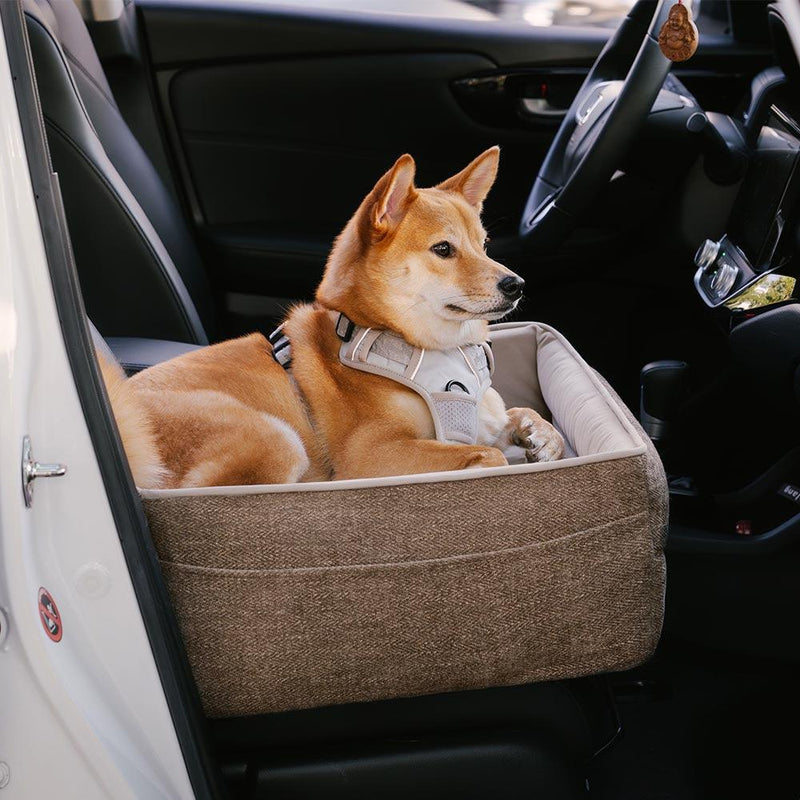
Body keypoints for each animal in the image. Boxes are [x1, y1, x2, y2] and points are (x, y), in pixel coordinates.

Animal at [101, 148, 564, 490]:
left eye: (484, 245)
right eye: (443, 249)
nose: (516, 284)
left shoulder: (487, 417)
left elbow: (524, 417)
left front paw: (539, 435)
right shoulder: (372, 454)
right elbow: (491, 453)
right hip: (275, 440)